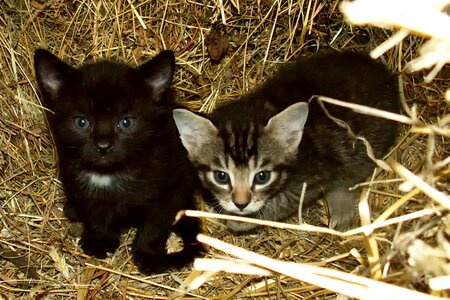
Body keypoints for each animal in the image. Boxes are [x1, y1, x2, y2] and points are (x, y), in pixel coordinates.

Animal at [34, 49, 203, 274]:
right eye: (82, 122)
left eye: (126, 122)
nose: (103, 146)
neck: (109, 173)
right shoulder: (84, 189)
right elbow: (96, 214)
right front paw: (100, 241)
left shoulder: (169, 191)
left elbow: (155, 224)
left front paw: (147, 254)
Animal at [174, 52, 400, 232]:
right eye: (221, 176)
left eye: (262, 177)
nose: (241, 204)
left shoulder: (315, 175)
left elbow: (282, 202)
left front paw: (241, 220)